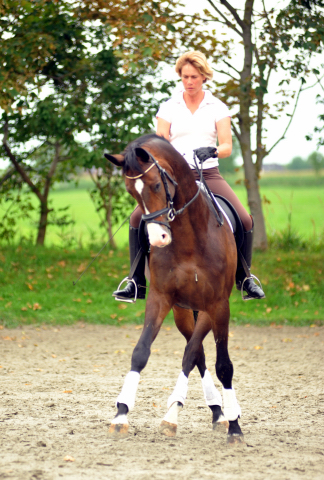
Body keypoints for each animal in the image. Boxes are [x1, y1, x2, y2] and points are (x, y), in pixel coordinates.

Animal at [105, 133, 244, 444]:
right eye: (131, 192)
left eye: (157, 184)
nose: (158, 238)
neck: (190, 236)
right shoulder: (161, 298)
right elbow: (141, 352)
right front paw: (121, 414)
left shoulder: (218, 304)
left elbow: (221, 364)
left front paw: (235, 428)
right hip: (182, 312)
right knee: (197, 353)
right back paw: (215, 411)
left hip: (207, 309)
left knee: (195, 353)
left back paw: (224, 415)